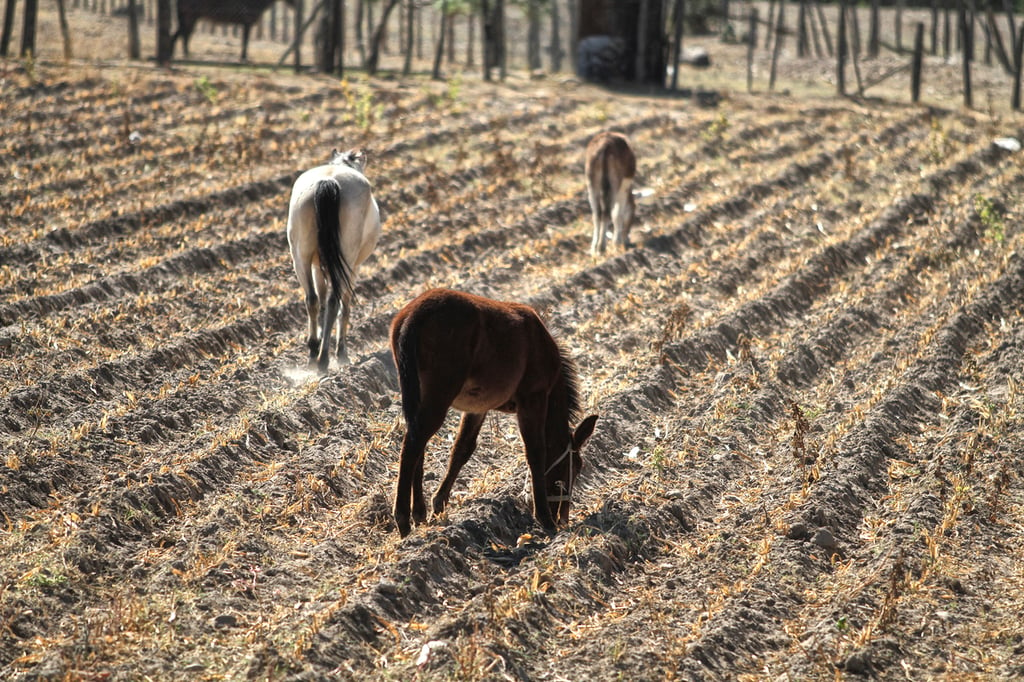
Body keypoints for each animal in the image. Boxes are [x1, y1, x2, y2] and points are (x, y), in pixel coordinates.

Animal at [286, 148, 382, 374]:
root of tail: (328, 180)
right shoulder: (354, 266)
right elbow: (344, 306)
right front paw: (342, 353)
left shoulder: (317, 266)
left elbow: (319, 299)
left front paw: (320, 339)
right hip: (346, 258)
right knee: (333, 301)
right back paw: (325, 358)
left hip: (300, 257)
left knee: (312, 299)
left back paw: (314, 351)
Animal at [389, 286, 598, 536]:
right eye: (575, 468)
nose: (562, 517)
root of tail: (413, 316)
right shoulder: (533, 399)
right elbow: (536, 452)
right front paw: (544, 518)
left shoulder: (478, 408)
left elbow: (462, 449)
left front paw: (439, 504)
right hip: (439, 394)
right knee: (412, 445)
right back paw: (403, 520)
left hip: (419, 394)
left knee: (417, 445)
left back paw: (418, 513)